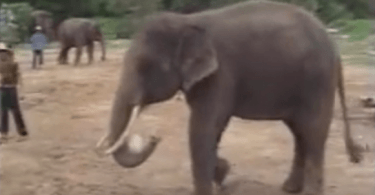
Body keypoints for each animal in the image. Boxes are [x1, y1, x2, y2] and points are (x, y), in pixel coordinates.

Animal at [95, 1, 366, 195]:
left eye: (144, 66)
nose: (154, 137)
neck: (188, 21)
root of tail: (335, 49)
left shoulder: (220, 75)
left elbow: (204, 127)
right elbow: (211, 129)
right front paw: (223, 174)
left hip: (317, 80)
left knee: (313, 131)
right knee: (300, 132)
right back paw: (289, 189)